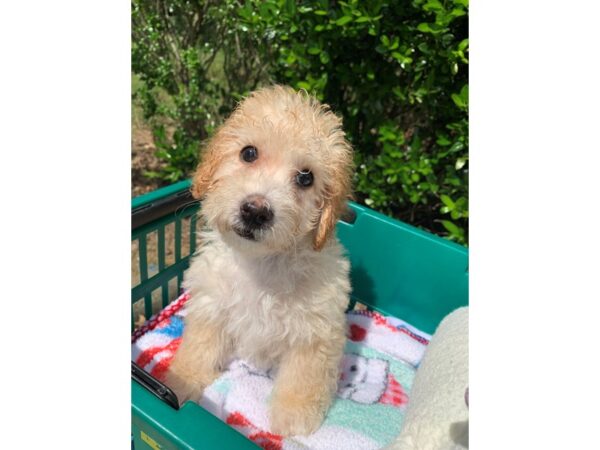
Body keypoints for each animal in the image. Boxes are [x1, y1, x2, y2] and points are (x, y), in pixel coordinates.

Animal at [164, 84, 354, 436]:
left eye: (306, 178)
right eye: (249, 153)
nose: (255, 211)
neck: (261, 263)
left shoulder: (317, 331)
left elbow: (304, 376)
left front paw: (293, 419)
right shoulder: (211, 307)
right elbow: (198, 348)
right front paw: (180, 381)